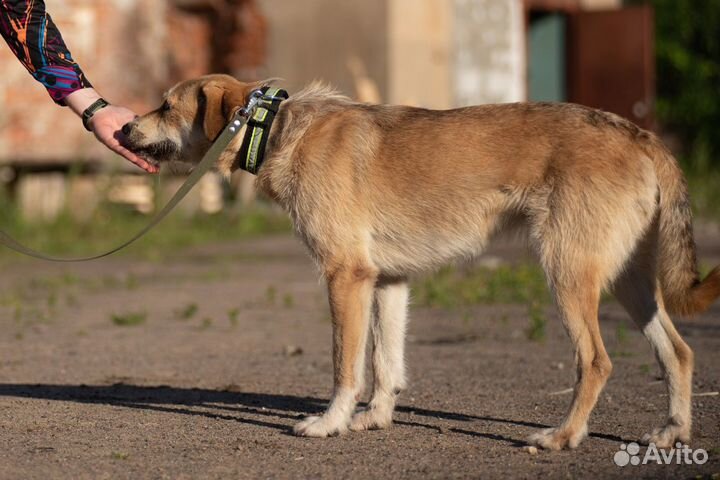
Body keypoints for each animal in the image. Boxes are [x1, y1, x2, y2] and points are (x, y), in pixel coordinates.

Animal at [122, 74, 720, 450]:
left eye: (166, 106)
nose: (124, 128)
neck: (278, 128)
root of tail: (641, 135)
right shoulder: (388, 282)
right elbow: (386, 365)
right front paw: (375, 419)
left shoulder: (345, 278)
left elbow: (345, 367)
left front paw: (330, 423)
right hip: (629, 283)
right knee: (679, 352)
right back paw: (672, 432)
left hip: (569, 276)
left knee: (596, 361)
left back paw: (562, 437)